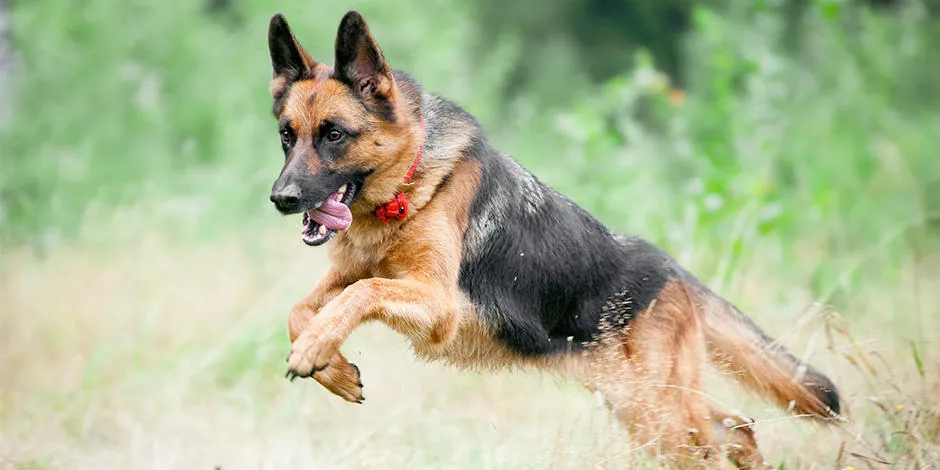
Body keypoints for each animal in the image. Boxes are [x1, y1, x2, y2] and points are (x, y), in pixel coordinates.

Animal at [266, 10, 844, 466]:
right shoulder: (351, 277)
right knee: (736, 428)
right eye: (287, 137)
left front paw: (316, 349)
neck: (410, 185)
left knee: (721, 434)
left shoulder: (435, 304)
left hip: (656, 410)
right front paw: (332, 367)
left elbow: (360, 295)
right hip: (640, 405)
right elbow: (300, 309)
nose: (281, 198)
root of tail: (670, 269)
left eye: (334, 135)